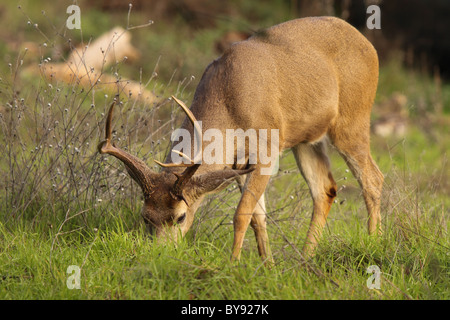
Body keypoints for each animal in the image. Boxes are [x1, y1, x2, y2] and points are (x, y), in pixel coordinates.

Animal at [97, 16, 384, 264]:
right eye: (145, 217)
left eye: (180, 217)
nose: (160, 254)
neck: (229, 102)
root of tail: (369, 46)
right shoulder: (238, 163)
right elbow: (258, 216)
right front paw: (267, 266)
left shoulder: (267, 150)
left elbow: (241, 213)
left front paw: (233, 263)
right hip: (306, 140)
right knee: (325, 189)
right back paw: (304, 259)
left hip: (352, 120)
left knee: (373, 178)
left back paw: (373, 244)